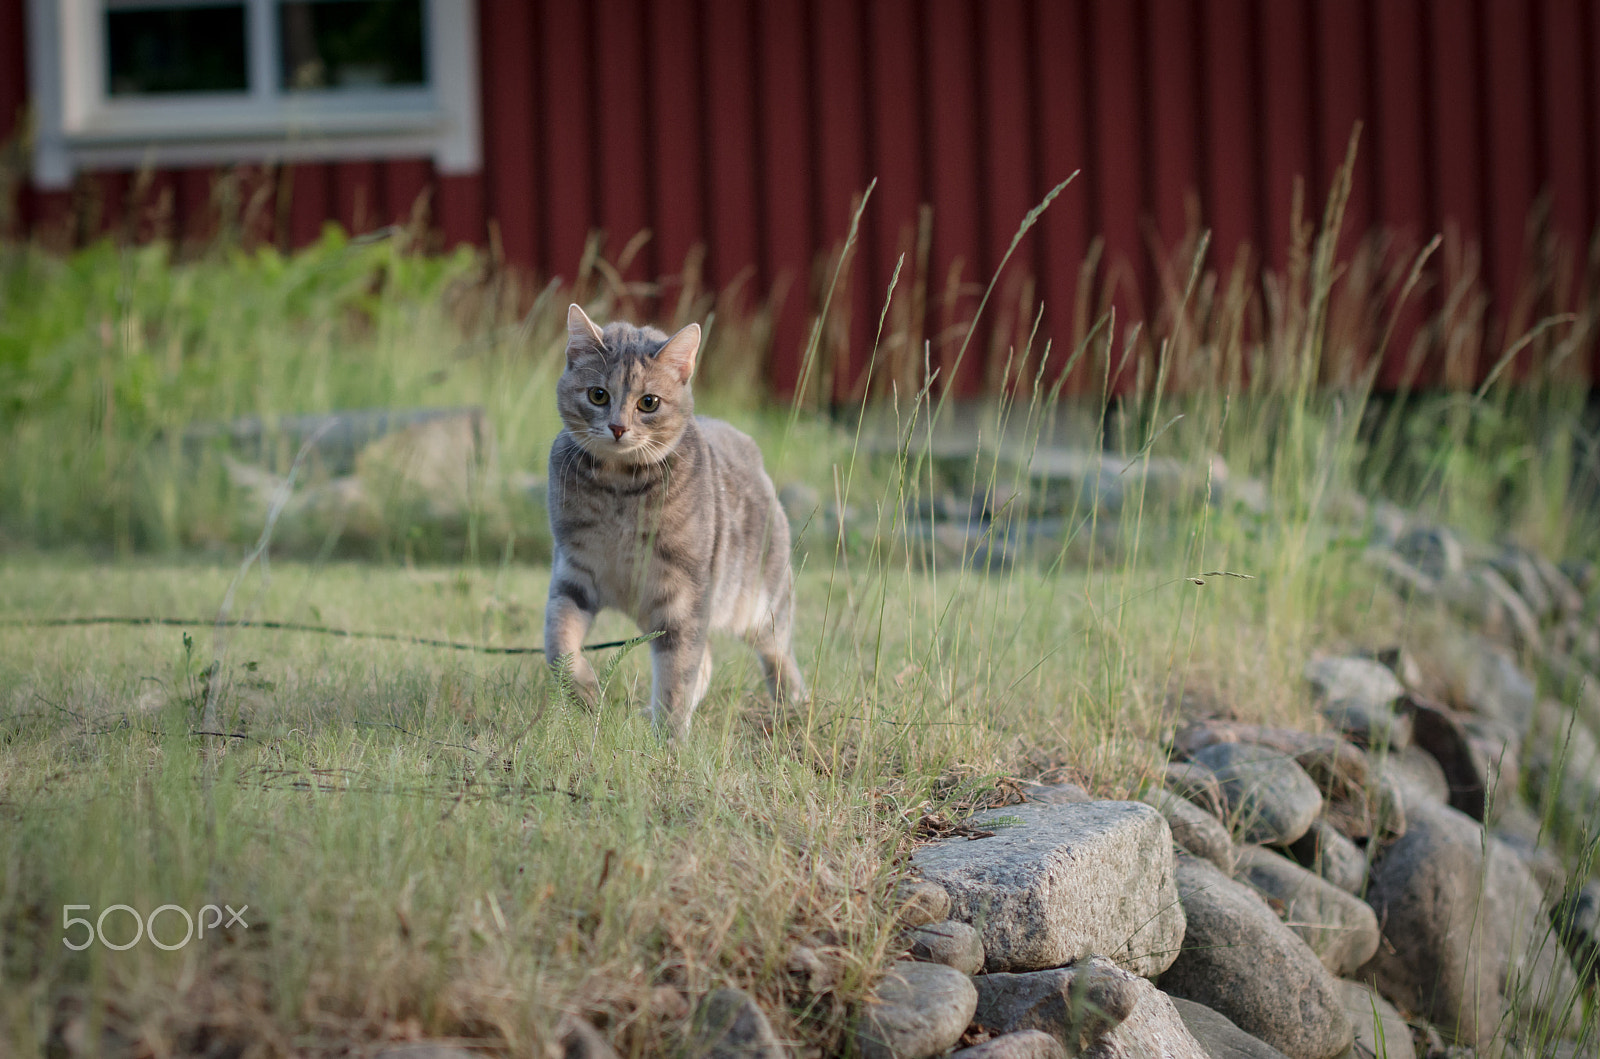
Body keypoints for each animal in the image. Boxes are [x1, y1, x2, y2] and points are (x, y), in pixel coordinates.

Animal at [544, 305, 806, 739]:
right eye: (598, 395)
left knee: (779, 654)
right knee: (708, 660)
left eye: (648, 402)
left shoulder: (683, 595)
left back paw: (793, 704)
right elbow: (558, 644)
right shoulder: (573, 574)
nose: (618, 427)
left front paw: (668, 740)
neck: (619, 488)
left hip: (762, 607)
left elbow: (676, 675)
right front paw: (586, 694)